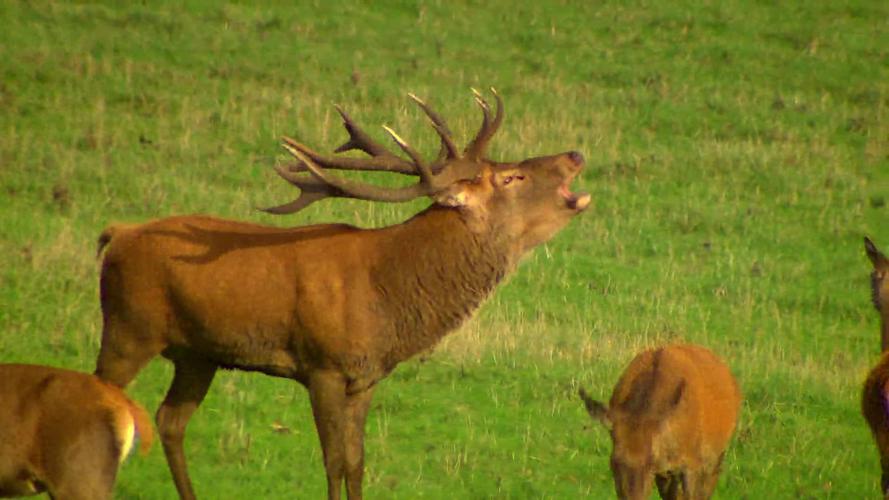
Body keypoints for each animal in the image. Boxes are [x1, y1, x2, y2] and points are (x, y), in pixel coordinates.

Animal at [92, 91, 588, 500]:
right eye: (511, 177)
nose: (575, 154)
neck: (387, 296)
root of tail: (116, 233)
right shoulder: (322, 365)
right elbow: (332, 463)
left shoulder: (365, 377)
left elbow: (356, 463)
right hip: (128, 327)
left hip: (198, 354)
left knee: (171, 421)